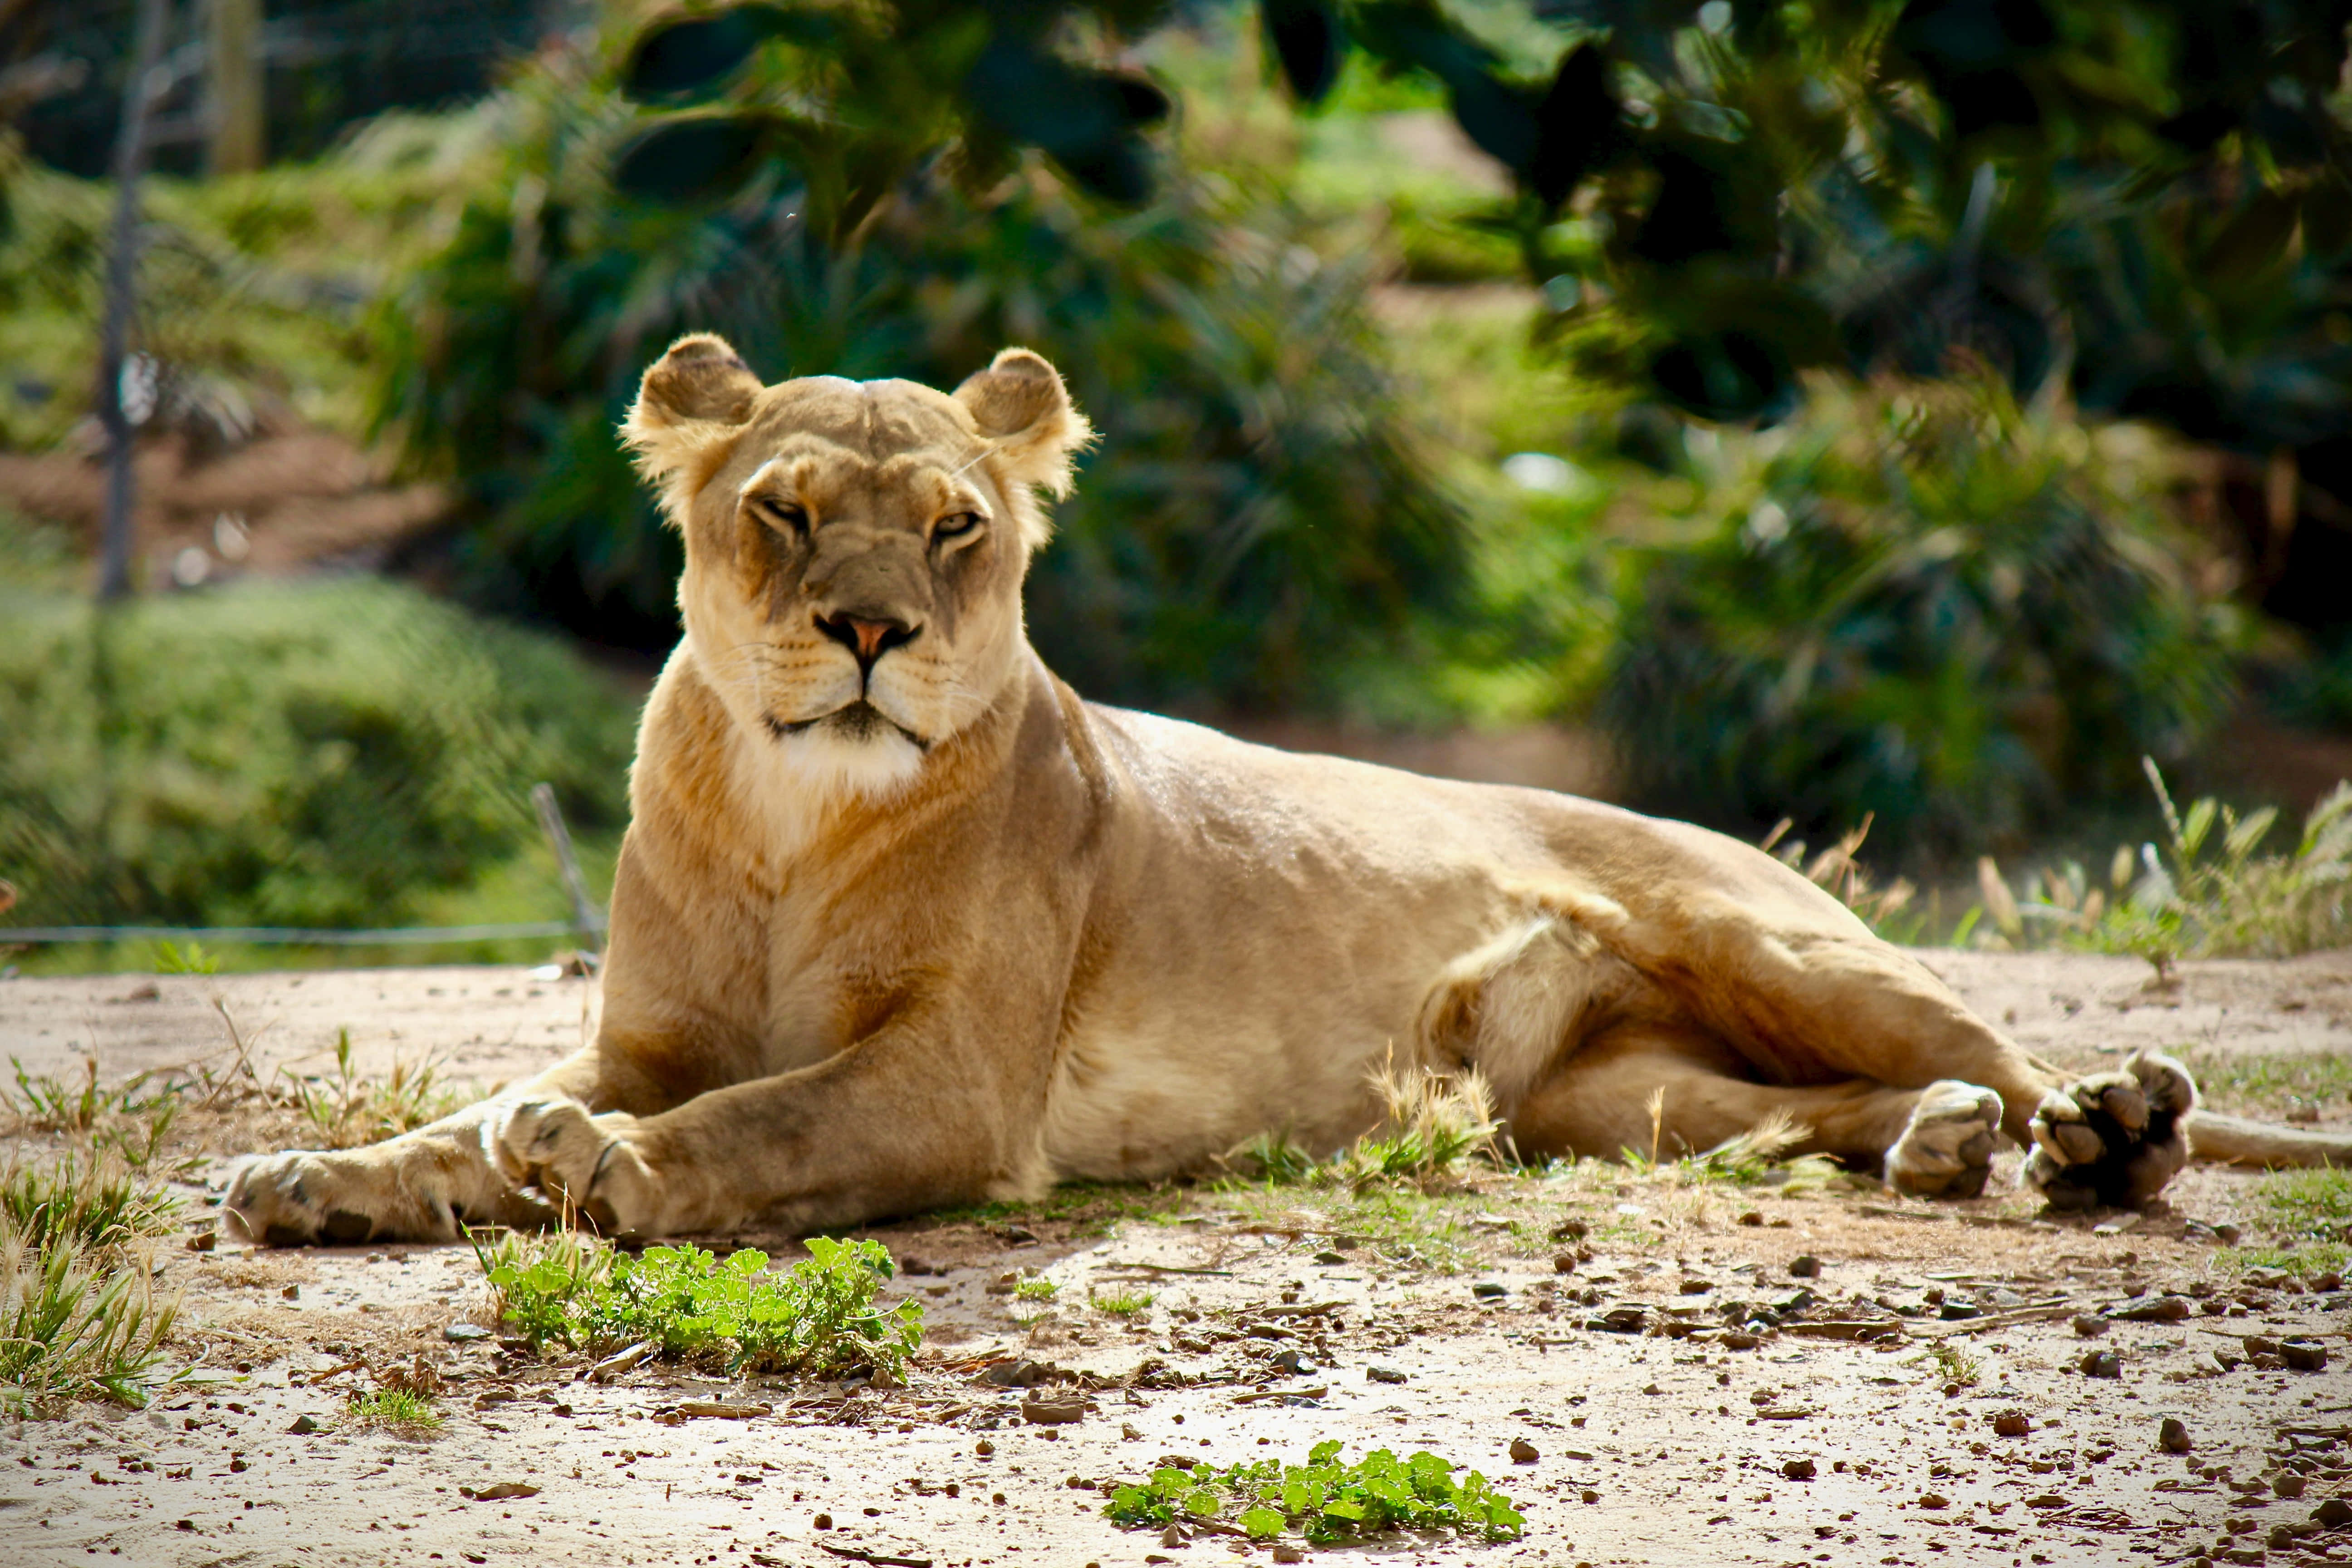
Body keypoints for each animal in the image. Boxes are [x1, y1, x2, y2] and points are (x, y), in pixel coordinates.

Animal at [226, 336, 2348, 1247]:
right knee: (1808, 1111)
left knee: (2020, 1054)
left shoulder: (953, 1085)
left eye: (952, 528)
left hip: (1775, 941)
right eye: (788, 513)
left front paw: (616, 1171)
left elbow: (765, 1117)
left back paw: (2092, 1131)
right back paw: (1936, 1151)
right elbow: (466, 1113)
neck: (783, 818)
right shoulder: (646, 1029)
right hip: (1606, 1098)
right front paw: (317, 1182)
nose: (868, 632)